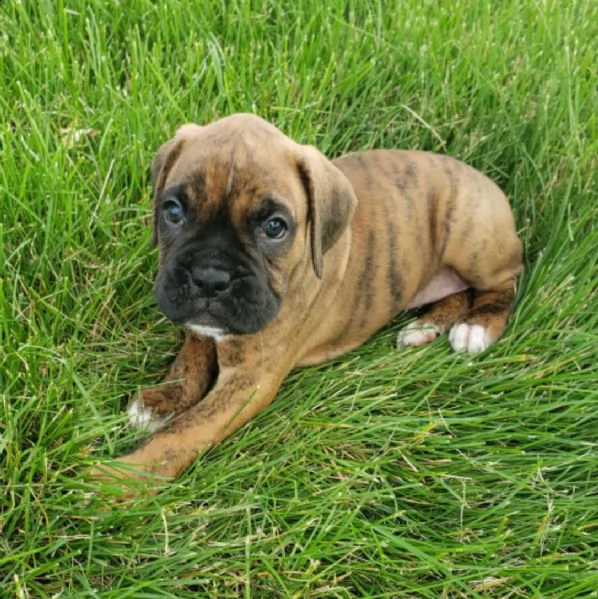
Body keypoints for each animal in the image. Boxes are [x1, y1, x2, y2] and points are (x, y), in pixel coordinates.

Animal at [96, 115, 524, 490]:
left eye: (275, 227)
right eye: (173, 210)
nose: (209, 277)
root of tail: (483, 178)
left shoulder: (250, 380)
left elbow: (184, 433)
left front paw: (115, 481)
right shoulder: (202, 322)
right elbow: (191, 358)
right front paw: (162, 401)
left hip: (472, 238)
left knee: (505, 280)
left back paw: (476, 326)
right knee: (458, 291)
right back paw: (425, 326)